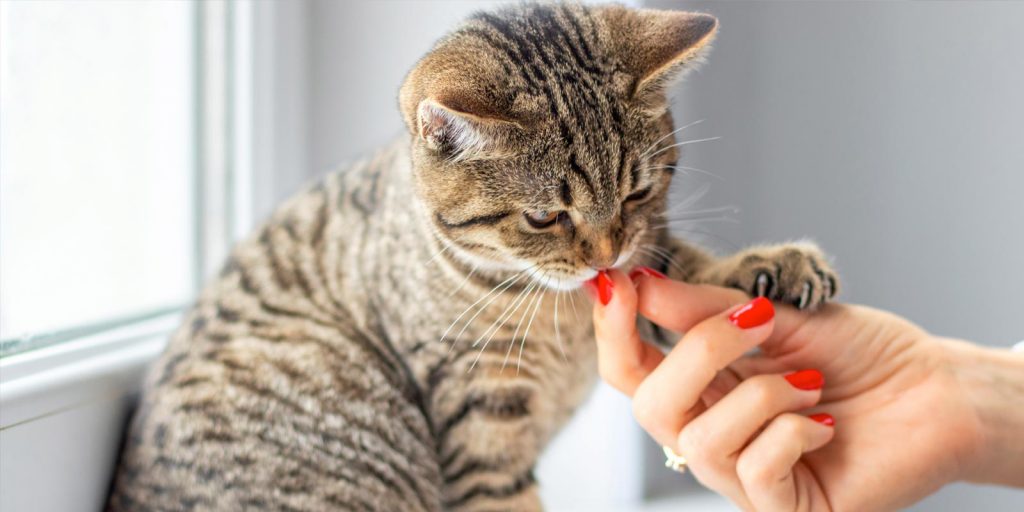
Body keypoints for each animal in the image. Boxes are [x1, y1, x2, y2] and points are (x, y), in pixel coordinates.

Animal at [108, 2, 835, 509]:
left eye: (639, 190)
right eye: (544, 216)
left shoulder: (640, 257)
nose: (604, 255)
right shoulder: (480, 416)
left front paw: (771, 267)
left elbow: (677, 268)